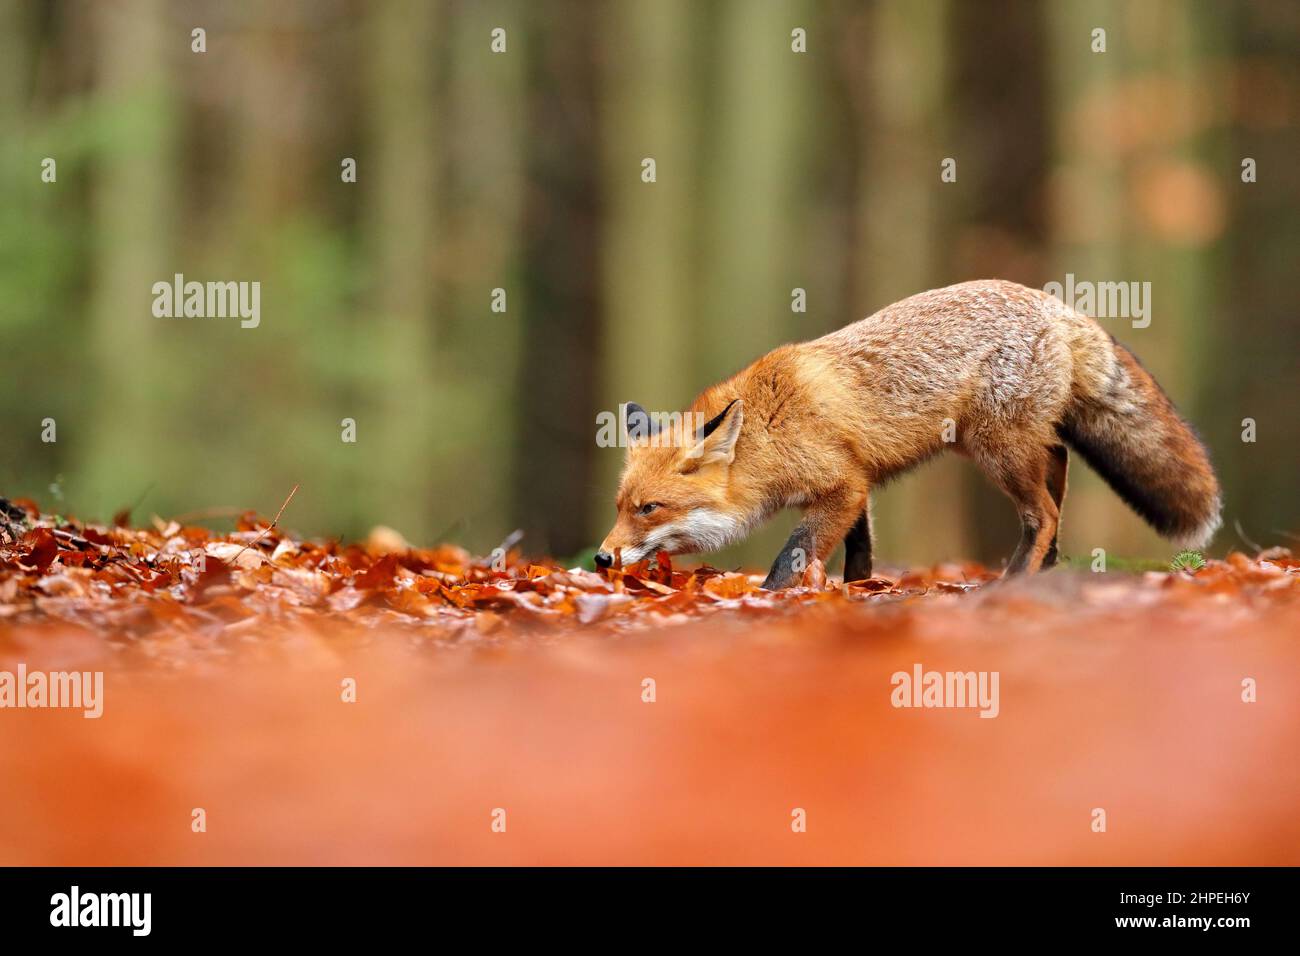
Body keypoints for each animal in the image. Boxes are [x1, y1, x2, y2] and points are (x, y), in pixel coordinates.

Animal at [595, 279, 1221, 589]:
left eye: (649, 509)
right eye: (621, 506)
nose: (602, 558)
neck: (769, 431)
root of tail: (1057, 306)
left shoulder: (841, 485)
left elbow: (793, 553)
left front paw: (773, 600)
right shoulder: (856, 482)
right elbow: (860, 554)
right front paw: (856, 595)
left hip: (996, 450)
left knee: (1042, 509)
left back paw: (1014, 580)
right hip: (1011, 440)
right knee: (1060, 463)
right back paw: (1045, 567)